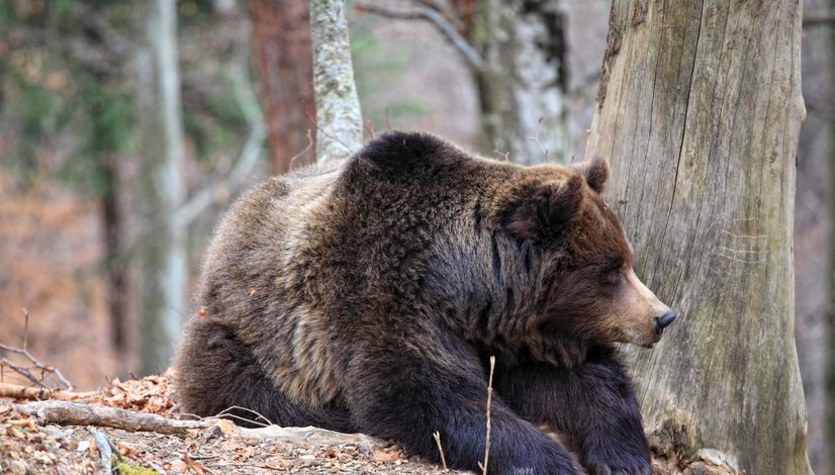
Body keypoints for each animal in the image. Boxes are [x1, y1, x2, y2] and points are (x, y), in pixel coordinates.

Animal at [173, 132, 676, 475]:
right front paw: (552, 460)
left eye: (625, 260)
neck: (459, 286)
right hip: (248, 334)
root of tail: (229, 223)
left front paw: (623, 456)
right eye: (612, 270)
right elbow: (426, 395)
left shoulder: (513, 333)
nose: (662, 316)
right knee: (246, 390)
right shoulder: (383, 299)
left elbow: (580, 381)